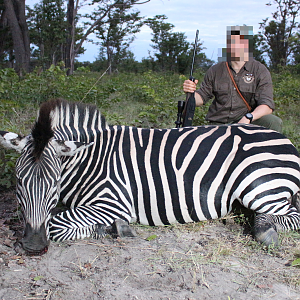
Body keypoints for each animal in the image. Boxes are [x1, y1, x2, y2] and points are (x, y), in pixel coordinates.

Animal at [0, 99, 298, 255]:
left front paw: (113, 229)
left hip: (260, 185)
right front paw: (110, 229)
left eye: (54, 184)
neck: (89, 159)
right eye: (19, 183)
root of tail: (285, 139)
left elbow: (56, 223)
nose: (32, 245)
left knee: (286, 216)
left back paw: (265, 231)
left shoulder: (114, 201)